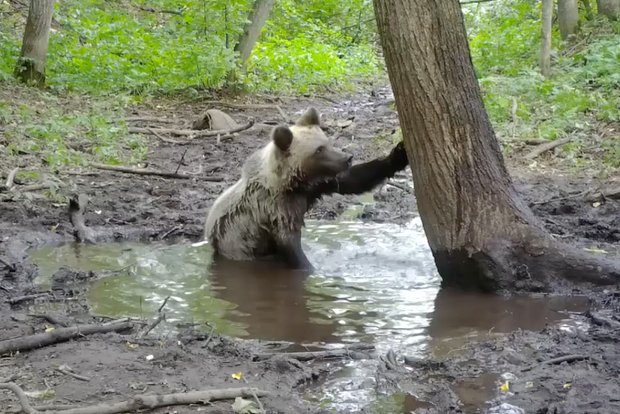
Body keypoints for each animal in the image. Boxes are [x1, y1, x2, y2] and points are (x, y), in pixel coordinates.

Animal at [203, 106, 406, 268]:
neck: (291, 184)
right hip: (238, 246)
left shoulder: (315, 186)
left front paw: (398, 154)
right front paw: (310, 269)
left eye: (327, 141)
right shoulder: (274, 210)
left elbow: (351, 181)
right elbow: (290, 245)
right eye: (318, 150)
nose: (347, 158)